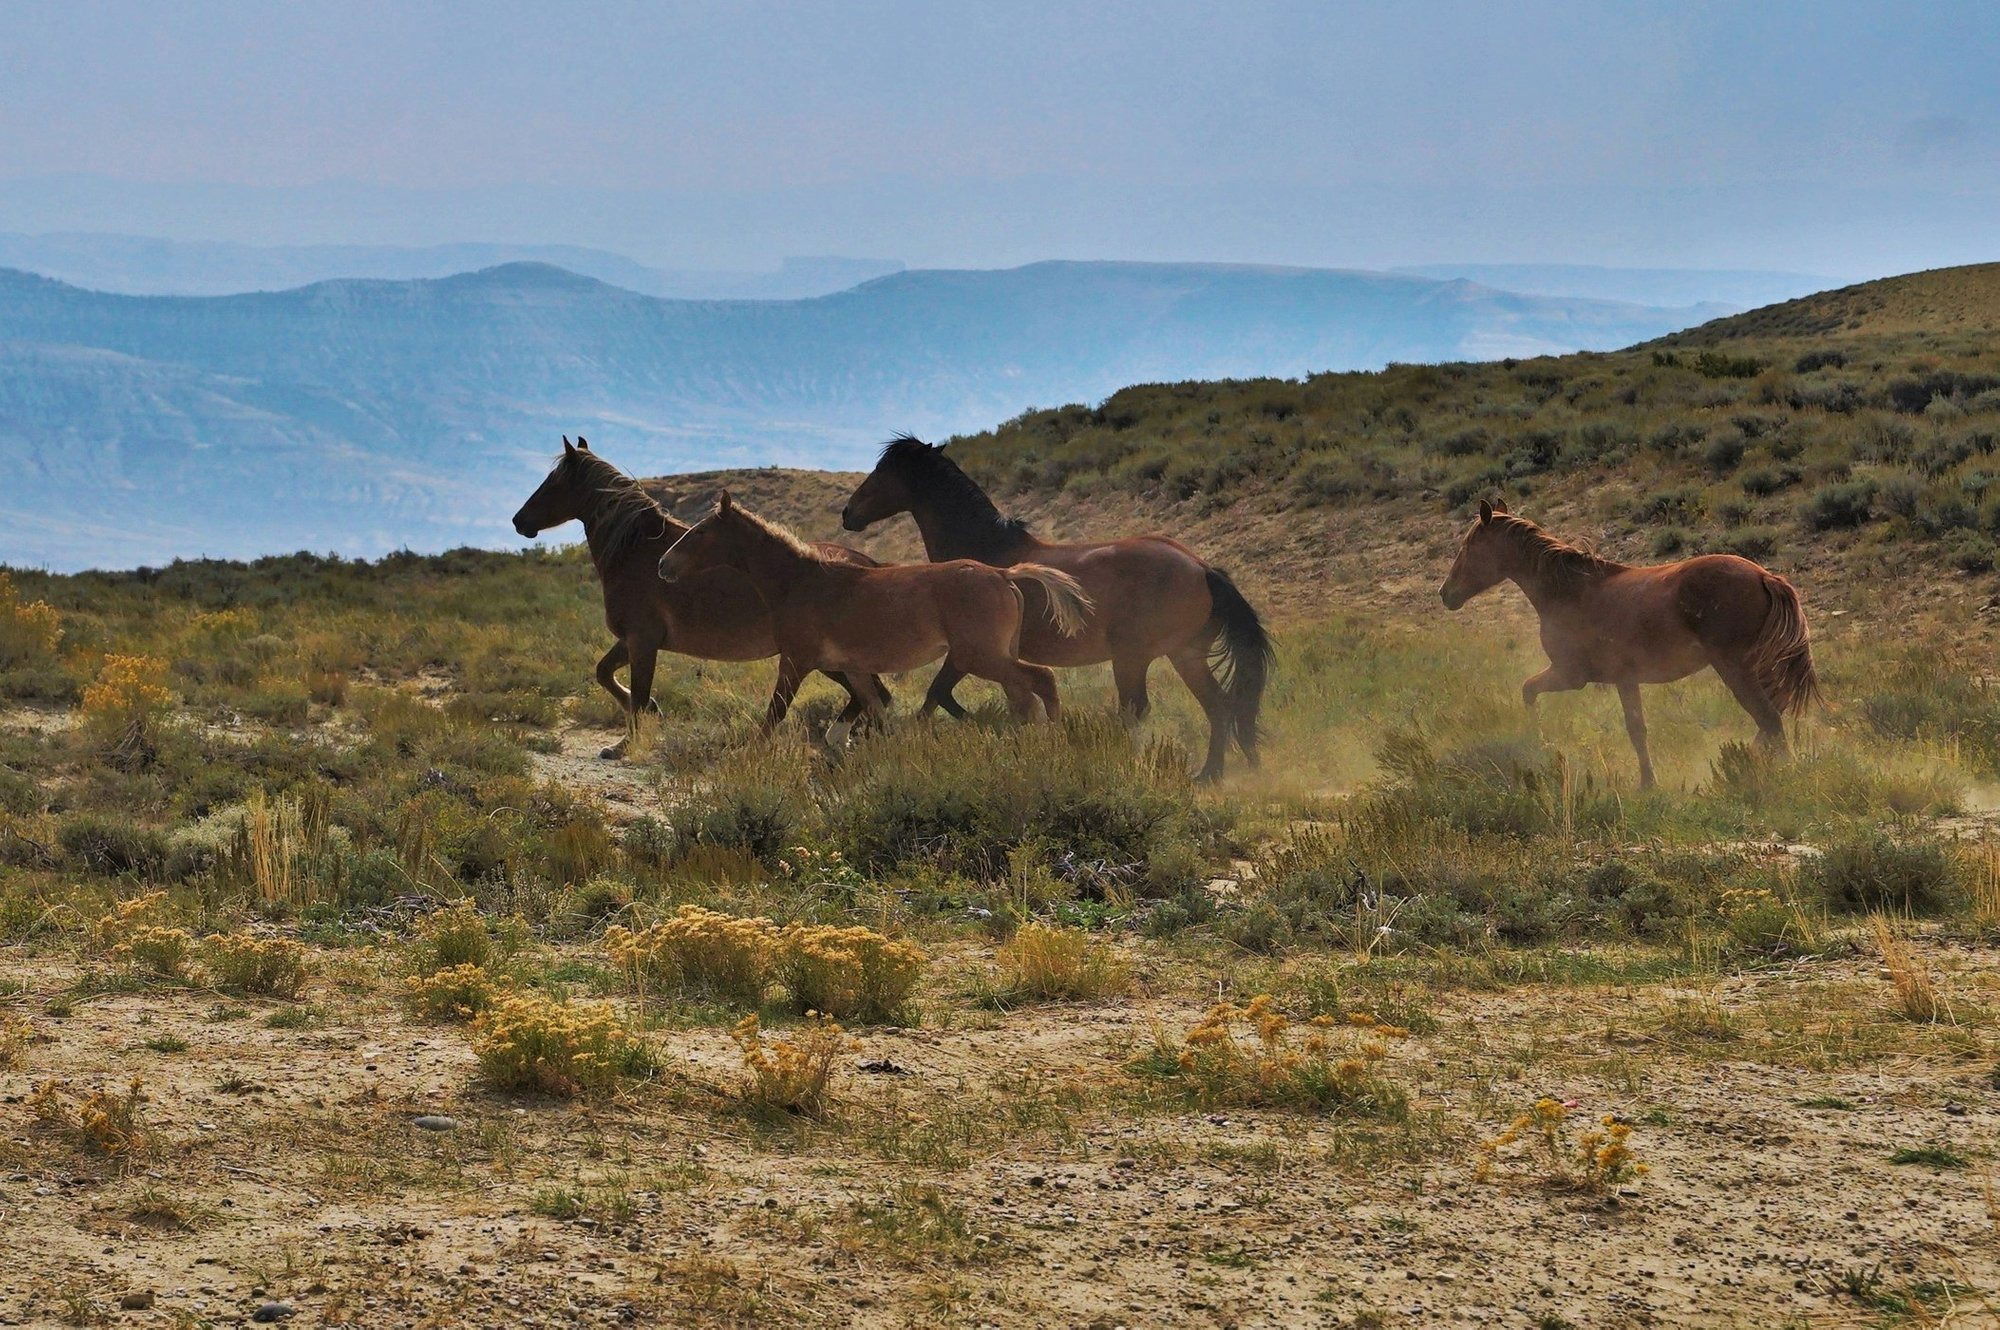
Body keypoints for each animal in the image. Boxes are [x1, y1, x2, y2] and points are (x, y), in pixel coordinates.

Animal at [512, 438, 888, 756]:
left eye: (552, 482)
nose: (518, 521)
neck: (636, 553)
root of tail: (870, 564)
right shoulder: (632, 640)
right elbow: (604, 673)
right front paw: (650, 712)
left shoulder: (642, 640)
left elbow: (637, 691)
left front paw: (623, 746)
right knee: (873, 695)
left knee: (872, 695)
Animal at [656, 492, 1096, 732]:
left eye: (700, 532)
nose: (663, 565)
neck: (800, 582)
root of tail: (1004, 574)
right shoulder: (853, 669)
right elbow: (877, 713)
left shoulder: (795, 662)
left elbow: (772, 717)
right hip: (990, 656)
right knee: (1024, 698)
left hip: (980, 656)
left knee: (1042, 681)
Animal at [840, 436, 1272, 780]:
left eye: (882, 472)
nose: (847, 514)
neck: (985, 555)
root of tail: (1202, 568)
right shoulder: (977, 656)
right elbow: (948, 697)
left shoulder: (969, 653)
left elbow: (940, 696)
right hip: (1186, 656)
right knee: (1220, 707)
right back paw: (1213, 774)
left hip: (1132, 658)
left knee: (1138, 709)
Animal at [1440, 498, 1816, 788]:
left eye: (1468, 547)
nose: (1445, 594)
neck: (1571, 591)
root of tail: (1765, 576)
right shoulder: (1624, 679)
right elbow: (1637, 729)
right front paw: (1648, 783)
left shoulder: (1571, 675)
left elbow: (1529, 691)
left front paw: (1540, 742)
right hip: (1758, 668)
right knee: (1771, 719)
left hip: (1735, 669)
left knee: (1770, 720)